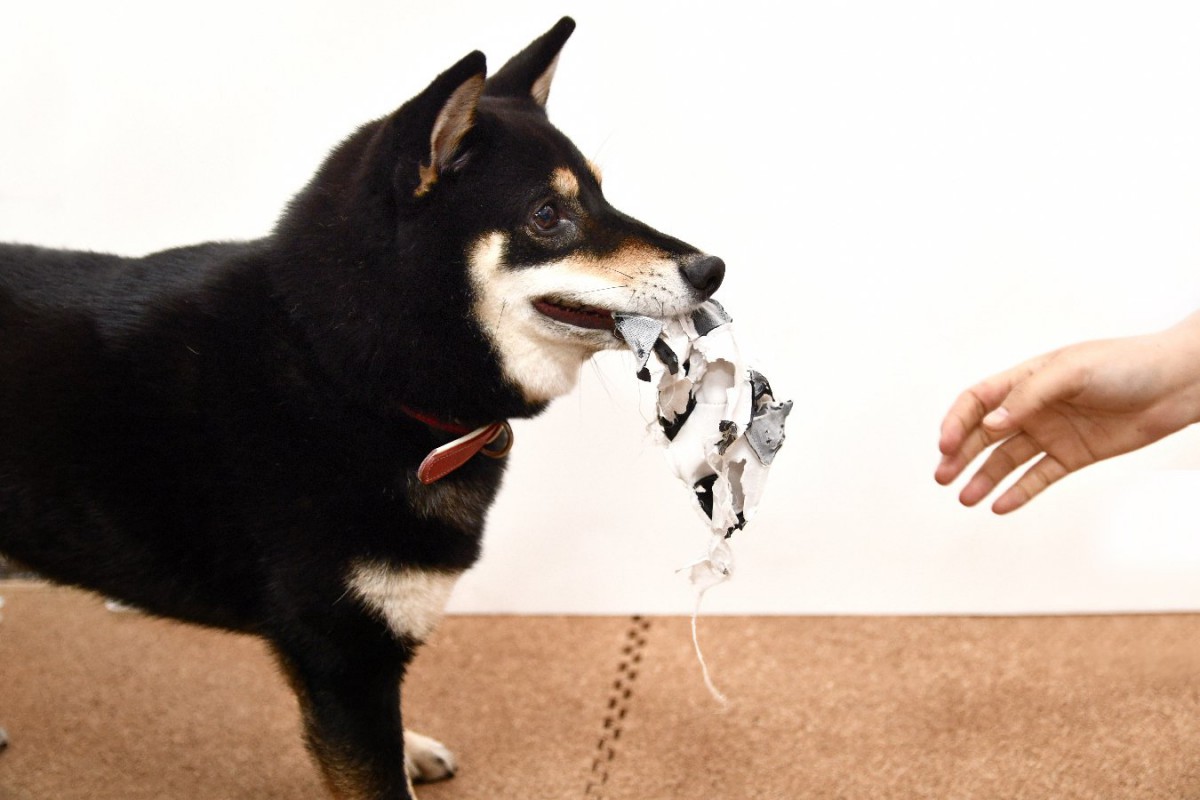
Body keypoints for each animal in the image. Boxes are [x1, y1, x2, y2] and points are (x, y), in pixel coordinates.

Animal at [0, 18, 720, 800]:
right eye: (548, 214)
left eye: (602, 196)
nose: (712, 268)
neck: (345, 372)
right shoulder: (342, 656)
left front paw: (410, 747)